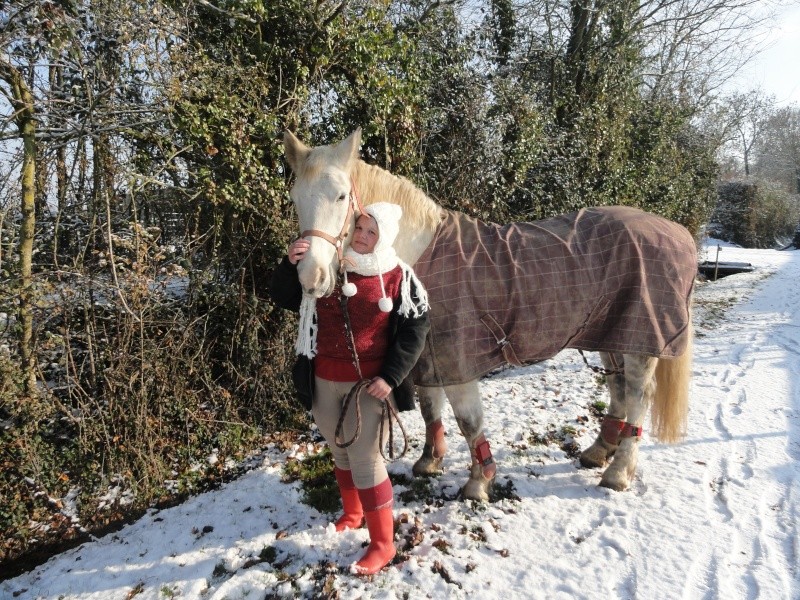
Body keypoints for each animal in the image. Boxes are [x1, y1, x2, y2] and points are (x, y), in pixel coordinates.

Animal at [282, 126, 692, 496]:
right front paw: (430, 461)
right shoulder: (429, 357)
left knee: (639, 395)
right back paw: (598, 451)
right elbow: (431, 410)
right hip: (612, 335)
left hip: (643, 341)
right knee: (618, 388)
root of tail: (677, 232)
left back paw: (618, 473)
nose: (311, 276)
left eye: (341, 196)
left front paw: (478, 482)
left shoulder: (457, 361)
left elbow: (468, 421)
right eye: (295, 197)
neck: (421, 254)